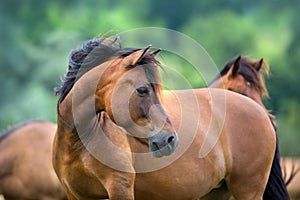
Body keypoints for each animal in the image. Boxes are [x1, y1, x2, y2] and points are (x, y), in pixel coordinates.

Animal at [52, 37, 278, 198]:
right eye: (142, 90)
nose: (169, 140)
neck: (80, 141)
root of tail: (262, 115)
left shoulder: (120, 188)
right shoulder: (76, 195)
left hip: (248, 191)